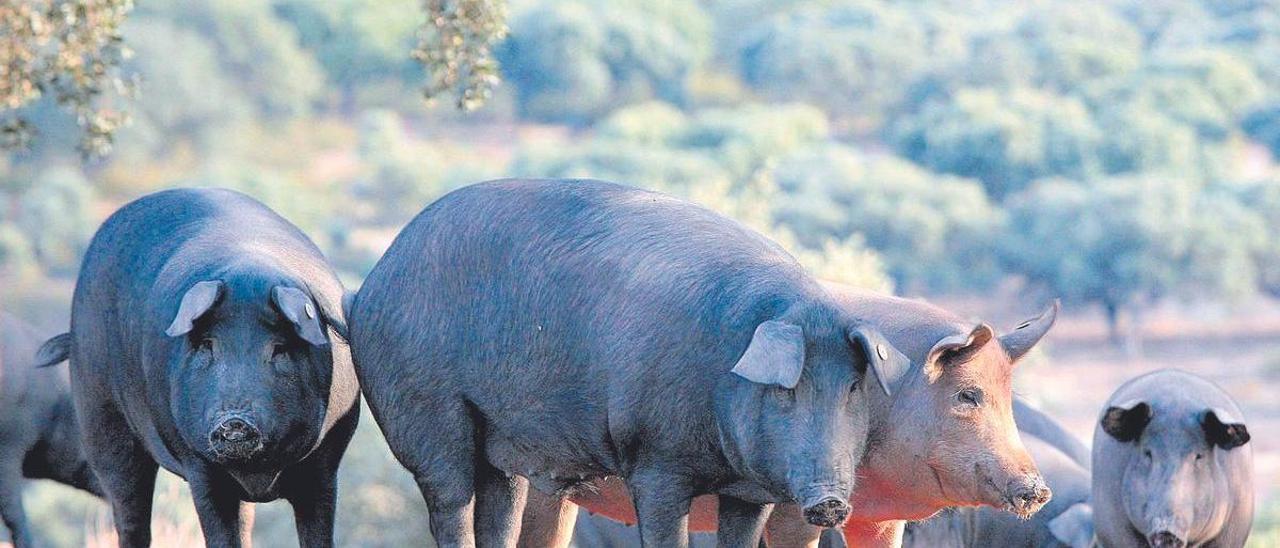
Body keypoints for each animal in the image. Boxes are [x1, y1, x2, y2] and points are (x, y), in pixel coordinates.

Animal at [37, 188, 358, 548]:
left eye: (279, 348)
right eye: (207, 345)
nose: (235, 421)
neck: (258, 473)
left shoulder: (325, 465)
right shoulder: (199, 465)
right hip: (99, 414)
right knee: (127, 504)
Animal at [350, 179, 911, 548]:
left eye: (853, 388)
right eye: (786, 389)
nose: (831, 502)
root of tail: (374, 280)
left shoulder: (749, 492)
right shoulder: (655, 462)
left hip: (497, 440)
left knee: (500, 504)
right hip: (421, 405)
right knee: (449, 498)